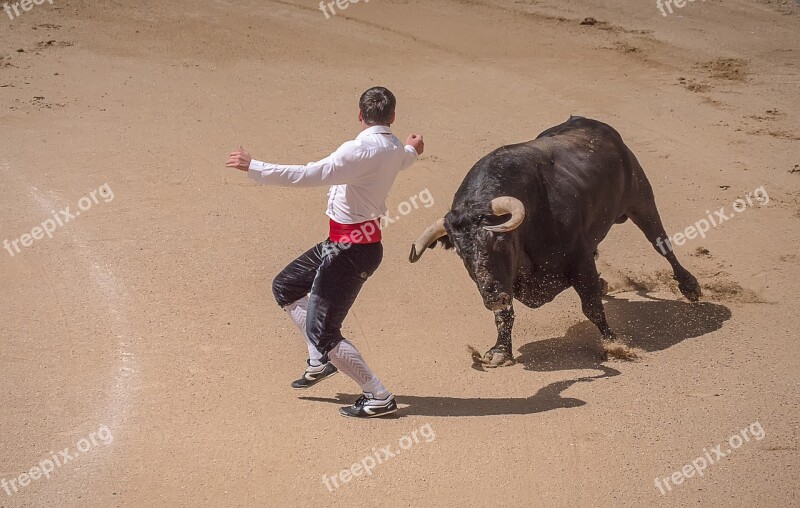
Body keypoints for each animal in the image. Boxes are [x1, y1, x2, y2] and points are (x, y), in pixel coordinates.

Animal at [412, 117, 700, 368]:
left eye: (499, 241)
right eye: (462, 254)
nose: (493, 297)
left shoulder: (580, 260)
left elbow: (592, 306)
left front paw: (613, 343)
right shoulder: (506, 283)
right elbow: (504, 315)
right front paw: (500, 352)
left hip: (640, 198)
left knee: (661, 243)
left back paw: (690, 287)